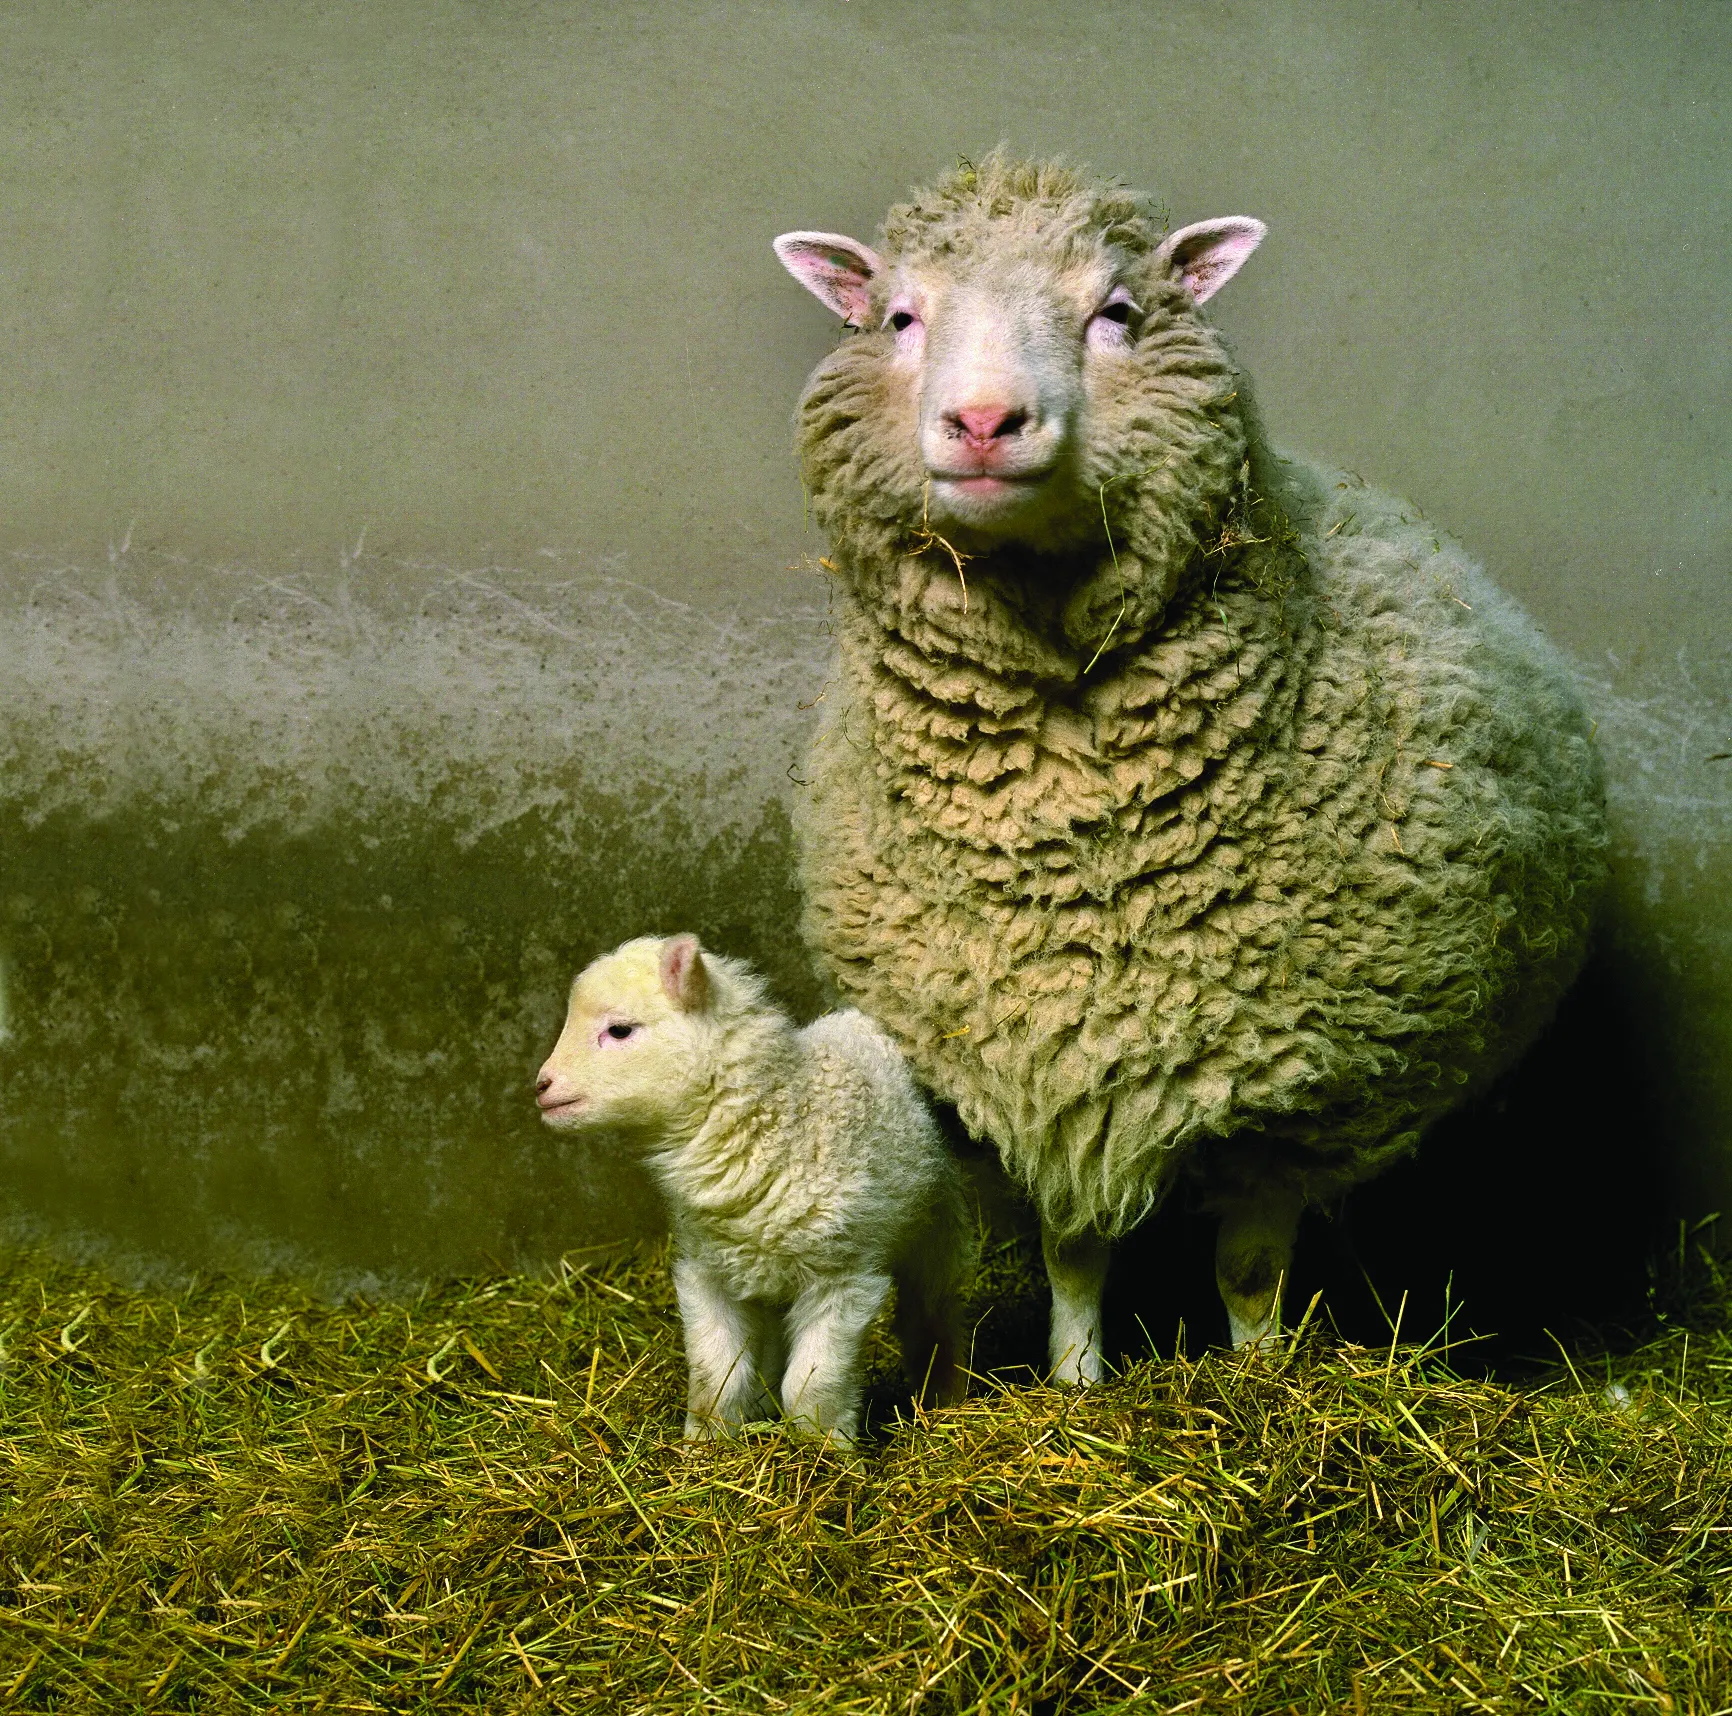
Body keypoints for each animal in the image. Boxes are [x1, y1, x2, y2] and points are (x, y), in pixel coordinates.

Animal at [535, 933, 973, 1443]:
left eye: (620, 1030)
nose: (541, 1086)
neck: (780, 1119)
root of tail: (862, 1020)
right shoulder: (707, 1273)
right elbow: (715, 1373)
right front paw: (704, 1445)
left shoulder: (843, 1277)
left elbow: (813, 1382)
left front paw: (823, 1448)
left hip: (936, 1226)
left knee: (933, 1312)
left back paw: (946, 1395)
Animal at [772, 153, 1607, 1380]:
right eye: (899, 317)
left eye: (1117, 312)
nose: (983, 421)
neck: (1074, 834)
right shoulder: (1049, 1060)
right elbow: (1075, 1254)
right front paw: (1076, 1384)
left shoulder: (1293, 1093)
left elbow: (1250, 1270)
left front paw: (1261, 1384)